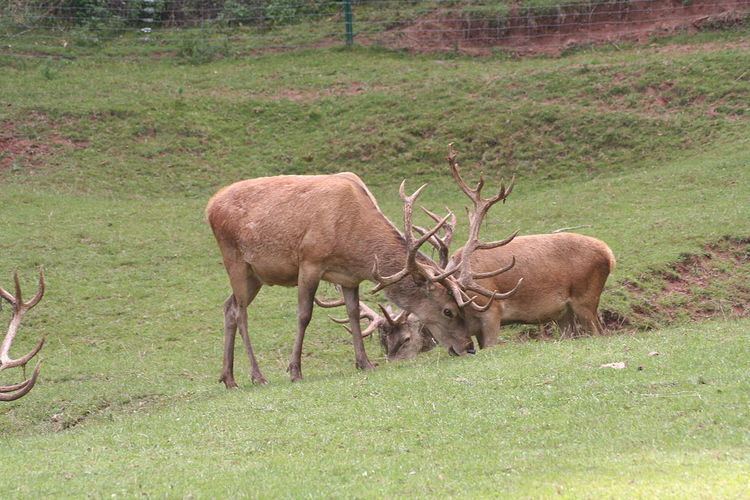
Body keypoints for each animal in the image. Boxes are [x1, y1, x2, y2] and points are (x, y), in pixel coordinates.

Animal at [206, 158, 524, 384]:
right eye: (449, 310)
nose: (468, 347)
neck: (353, 241)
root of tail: (210, 206)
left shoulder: (349, 277)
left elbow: (352, 314)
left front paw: (364, 363)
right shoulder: (309, 262)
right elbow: (304, 315)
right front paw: (295, 371)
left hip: (255, 275)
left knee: (228, 306)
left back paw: (228, 378)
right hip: (234, 258)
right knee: (242, 313)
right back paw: (257, 376)